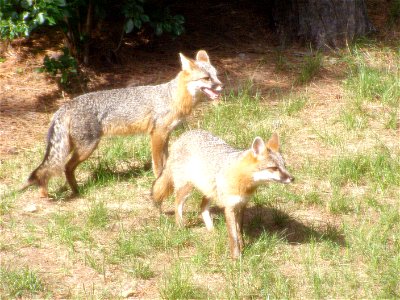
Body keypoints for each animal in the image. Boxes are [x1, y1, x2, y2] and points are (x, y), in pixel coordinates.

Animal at [23, 50, 223, 198]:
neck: (173, 97)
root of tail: (67, 104)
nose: (221, 86)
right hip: (87, 147)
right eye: (206, 78)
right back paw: (75, 192)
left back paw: (55, 192)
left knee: (49, 169)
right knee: (63, 167)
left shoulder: (166, 135)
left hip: (71, 146)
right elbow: (158, 164)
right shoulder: (157, 135)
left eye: (216, 75)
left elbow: (166, 162)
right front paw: (158, 182)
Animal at [151, 129, 294, 258]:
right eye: (274, 168)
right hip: (187, 189)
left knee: (202, 206)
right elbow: (233, 235)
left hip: (210, 191)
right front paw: (236, 258)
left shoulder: (241, 205)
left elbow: (239, 230)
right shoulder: (229, 207)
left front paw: (243, 247)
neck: (243, 182)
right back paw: (180, 226)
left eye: (284, 165)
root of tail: (184, 135)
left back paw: (211, 229)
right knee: (177, 204)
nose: (292, 178)